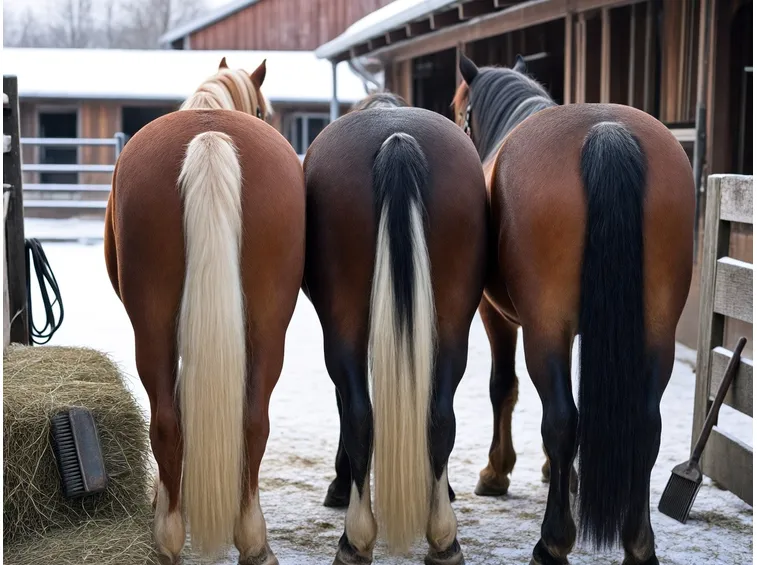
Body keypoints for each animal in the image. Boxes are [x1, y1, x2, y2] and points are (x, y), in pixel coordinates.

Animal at [104, 57, 305, 565]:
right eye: (265, 109)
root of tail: (209, 137)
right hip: (265, 326)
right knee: (247, 421)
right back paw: (249, 540)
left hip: (155, 326)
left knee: (173, 421)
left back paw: (170, 537)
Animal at [302, 93, 488, 564]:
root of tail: (397, 139)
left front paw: (339, 485)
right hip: (453, 319)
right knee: (439, 414)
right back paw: (443, 539)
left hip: (343, 323)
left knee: (358, 415)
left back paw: (355, 539)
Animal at [452, 54, 694, 564]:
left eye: (460, 107)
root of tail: (606, 131)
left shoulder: (497, 315)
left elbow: (503, 387)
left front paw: (496, 472)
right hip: (656, 329)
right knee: (646, 425)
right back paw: (638, 543)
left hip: (544, 328)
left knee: (561, 419)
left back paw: (552, 541)